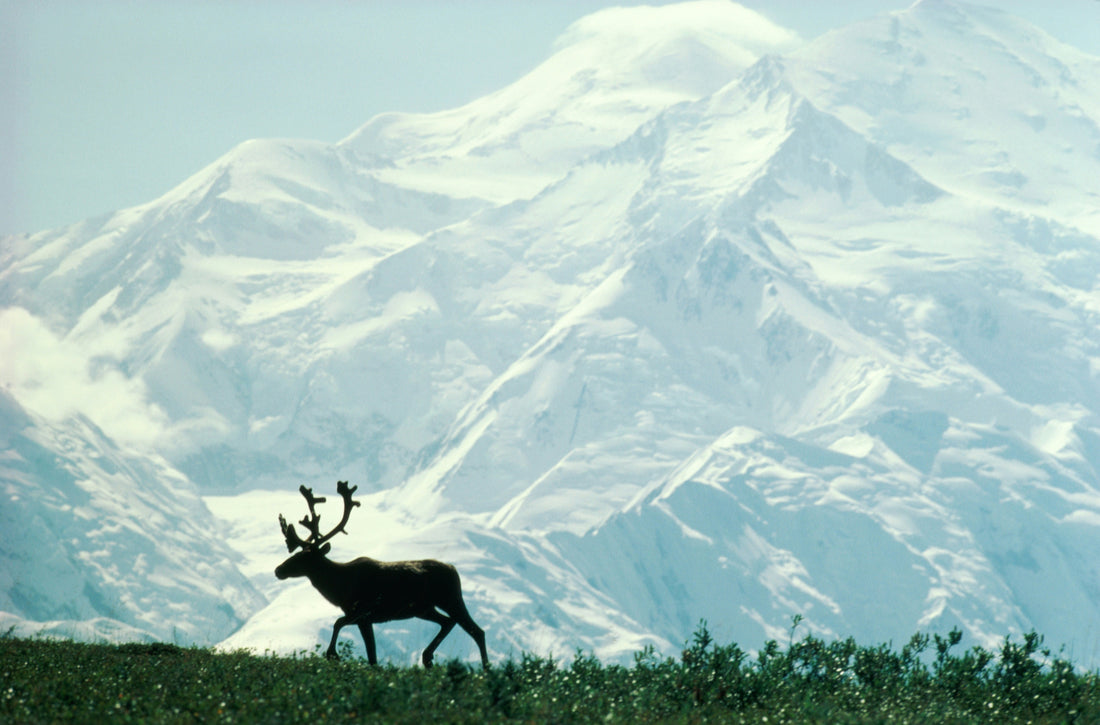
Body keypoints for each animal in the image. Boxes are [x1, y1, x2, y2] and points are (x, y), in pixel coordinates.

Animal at [274, 480, 490, 669]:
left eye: (305, 557)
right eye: (296, 553)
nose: (278, 570)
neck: (340, 586)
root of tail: (454, 569)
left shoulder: (363, 610)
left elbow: (337, 623)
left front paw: (332, 654)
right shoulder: (365, 619)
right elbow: (372, 656)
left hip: (451, 599)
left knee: (476, 630)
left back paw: (485, 668)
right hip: (424, 609)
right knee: (448, 622)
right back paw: (427, 658)